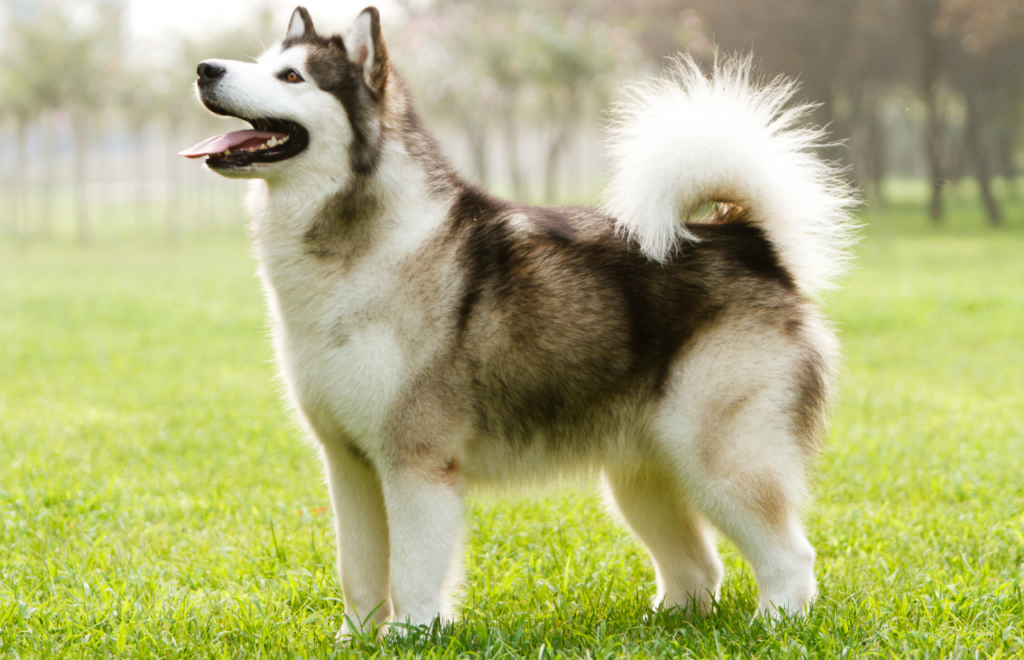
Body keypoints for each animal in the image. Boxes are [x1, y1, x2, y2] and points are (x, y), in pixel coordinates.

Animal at [182, 3, 856, 634]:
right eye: (259, 60)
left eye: (291, 76)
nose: (205, 68)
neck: (357, 246)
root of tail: (747, 240)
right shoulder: (349, 465)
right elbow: (359, 570)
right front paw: (359, 638)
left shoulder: (416, 462)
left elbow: (412, 569)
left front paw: (412, 634)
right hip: (641, 475)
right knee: (699, 568)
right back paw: (668, 622)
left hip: (720, 458)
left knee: (791, 556)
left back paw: (775, 622)